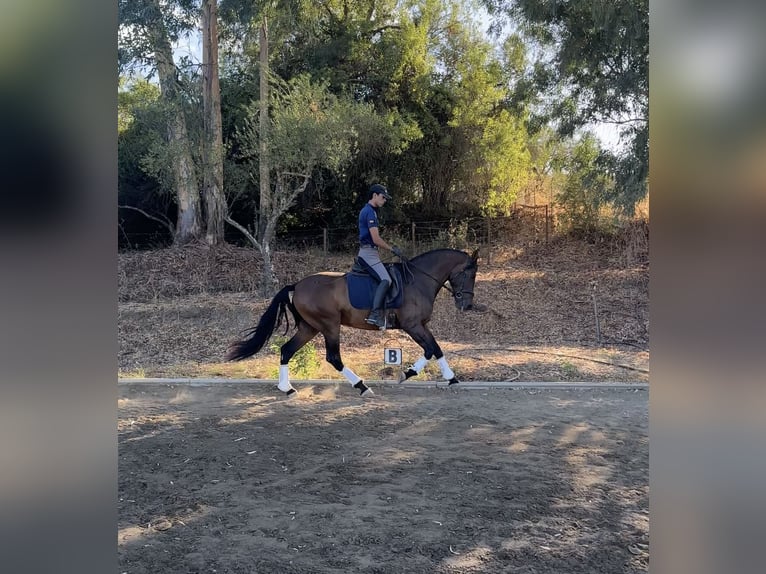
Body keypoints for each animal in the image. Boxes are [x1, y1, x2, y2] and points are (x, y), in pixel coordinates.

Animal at [226, 248, 480, 397]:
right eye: (470, 274)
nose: (466, 305)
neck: (418, 280)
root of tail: (297, 285)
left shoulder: (422, 325)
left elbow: (436, 348)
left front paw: (452, 378)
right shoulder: (412, 325)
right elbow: (429, 349)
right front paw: (407, 374)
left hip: (310, 327)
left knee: (287, 350)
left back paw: (286, 388)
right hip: (329, 325)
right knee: (333, 358)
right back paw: (362, 386)